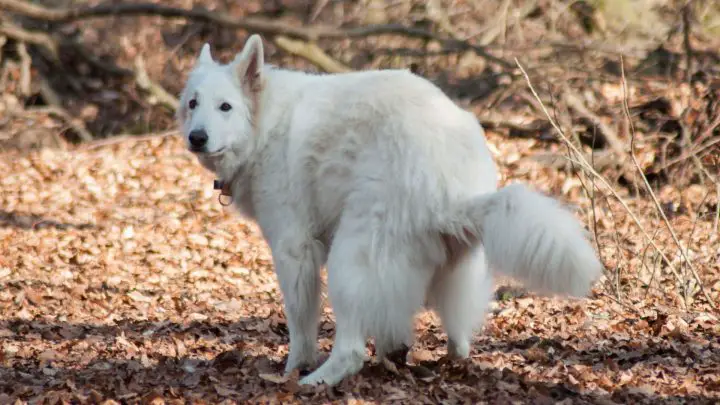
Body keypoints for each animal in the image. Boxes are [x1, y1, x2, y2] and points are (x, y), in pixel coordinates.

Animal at [176, 34, 600, 386]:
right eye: (193, 104)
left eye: (225, 107)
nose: (196, 137)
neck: (265, 126)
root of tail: (451, 196)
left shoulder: (294, 251)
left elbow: (300, 325)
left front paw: (294, 368)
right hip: (451, 268)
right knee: (458, 336)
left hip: (349, 257)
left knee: (350, 351)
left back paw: (315, 381)